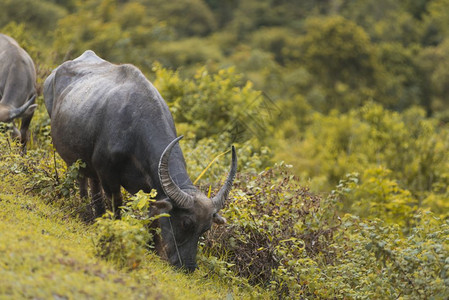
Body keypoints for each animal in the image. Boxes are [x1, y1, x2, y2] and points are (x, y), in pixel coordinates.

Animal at [43, 51, 236, 272]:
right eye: (186, 223)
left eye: (205, 229)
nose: (188, 267)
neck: (134, 128)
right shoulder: (108, 174)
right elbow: (117, 203)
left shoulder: (151, 188)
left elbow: (153, 215)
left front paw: (152, 247)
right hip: (76, 160)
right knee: (83, 181)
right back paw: (86, 213)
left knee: (92, 184)